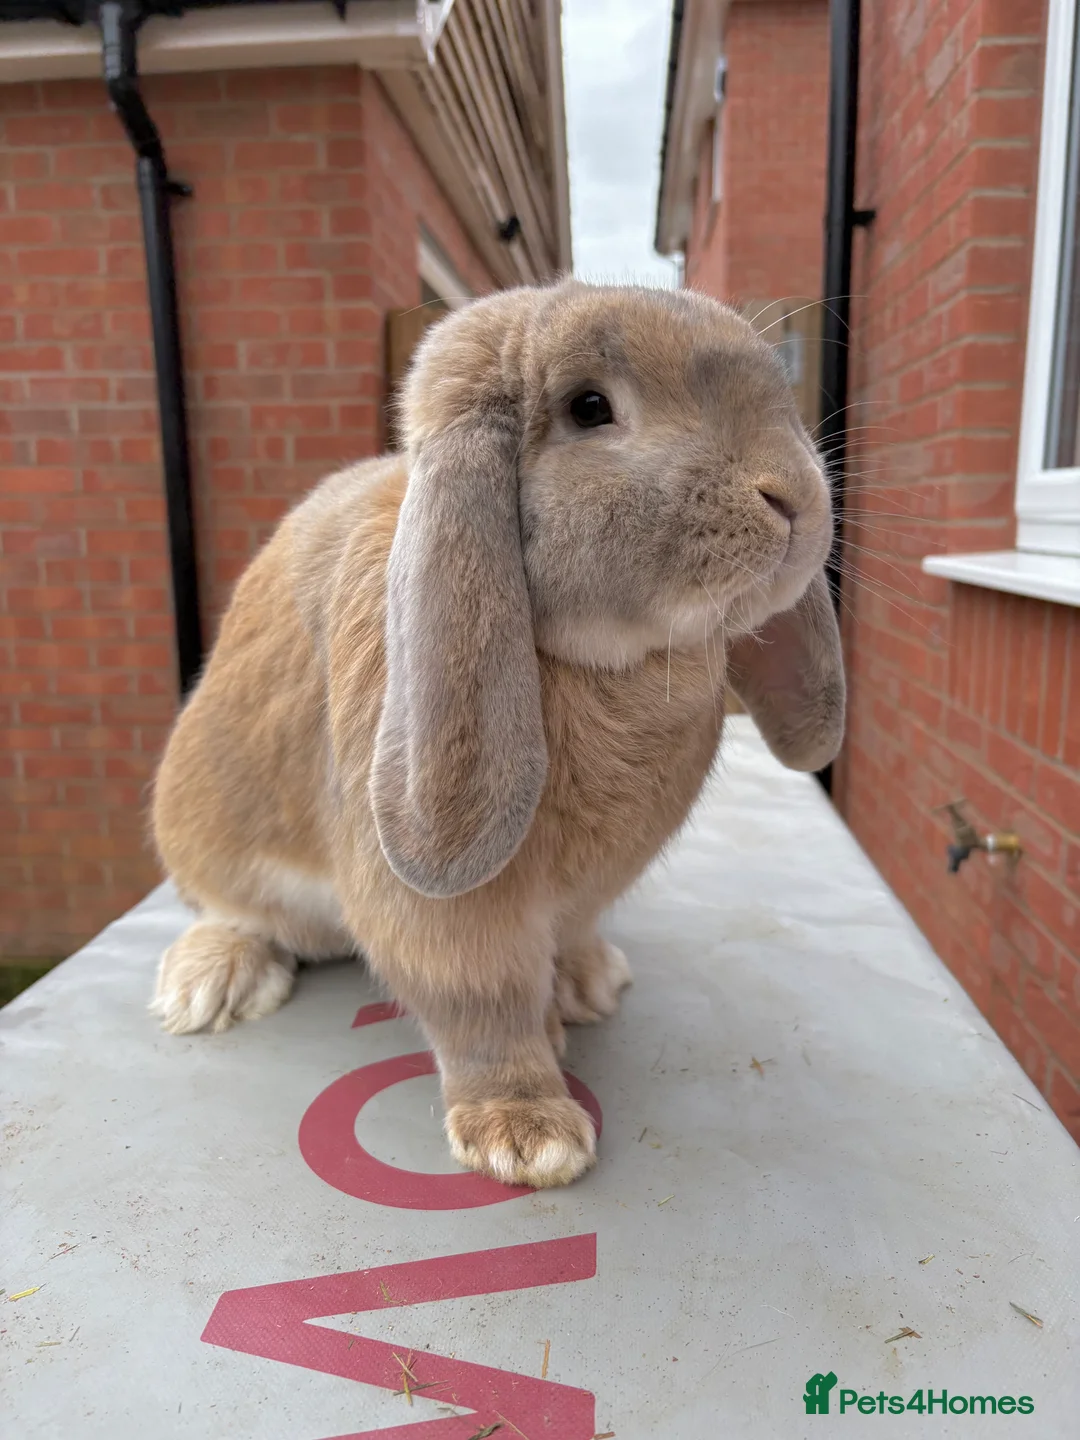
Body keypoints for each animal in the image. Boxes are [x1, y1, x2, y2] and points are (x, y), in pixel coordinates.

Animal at [150, 280, 844, 1189]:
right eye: (590, 408)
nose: (795, 496)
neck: (602, 663)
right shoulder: (452, 916)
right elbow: (482, 1006)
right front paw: (527, 1135)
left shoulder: (588, 891)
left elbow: (568, 936)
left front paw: (585, 985)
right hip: (206, 829)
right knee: (232, 907)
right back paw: (212, 985)